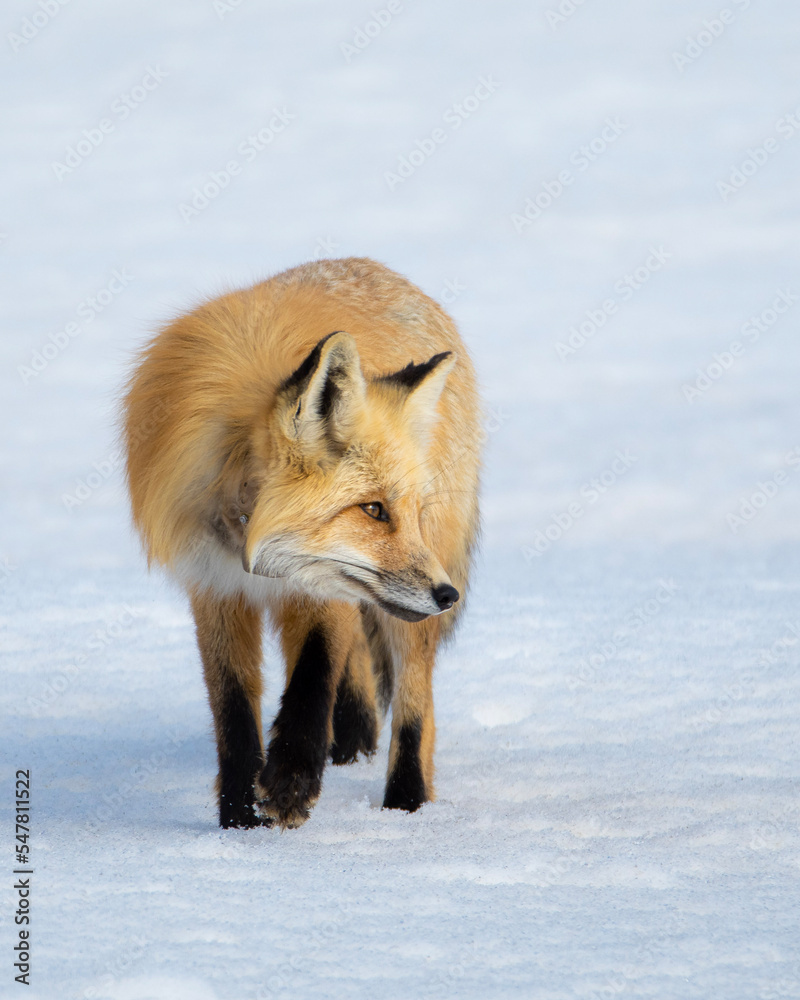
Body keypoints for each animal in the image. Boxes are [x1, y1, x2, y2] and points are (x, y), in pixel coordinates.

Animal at [122, 257, 482, 829]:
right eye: (373, 510)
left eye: (408, 512)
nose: (448, 596)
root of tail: (376, 266)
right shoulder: (213, 584)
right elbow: (232, 705)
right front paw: (239, 820)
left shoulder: (323, 585)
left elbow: (314, 675)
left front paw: (290, 784)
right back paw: (353, 744)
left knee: (413, 695)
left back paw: (405, 803)